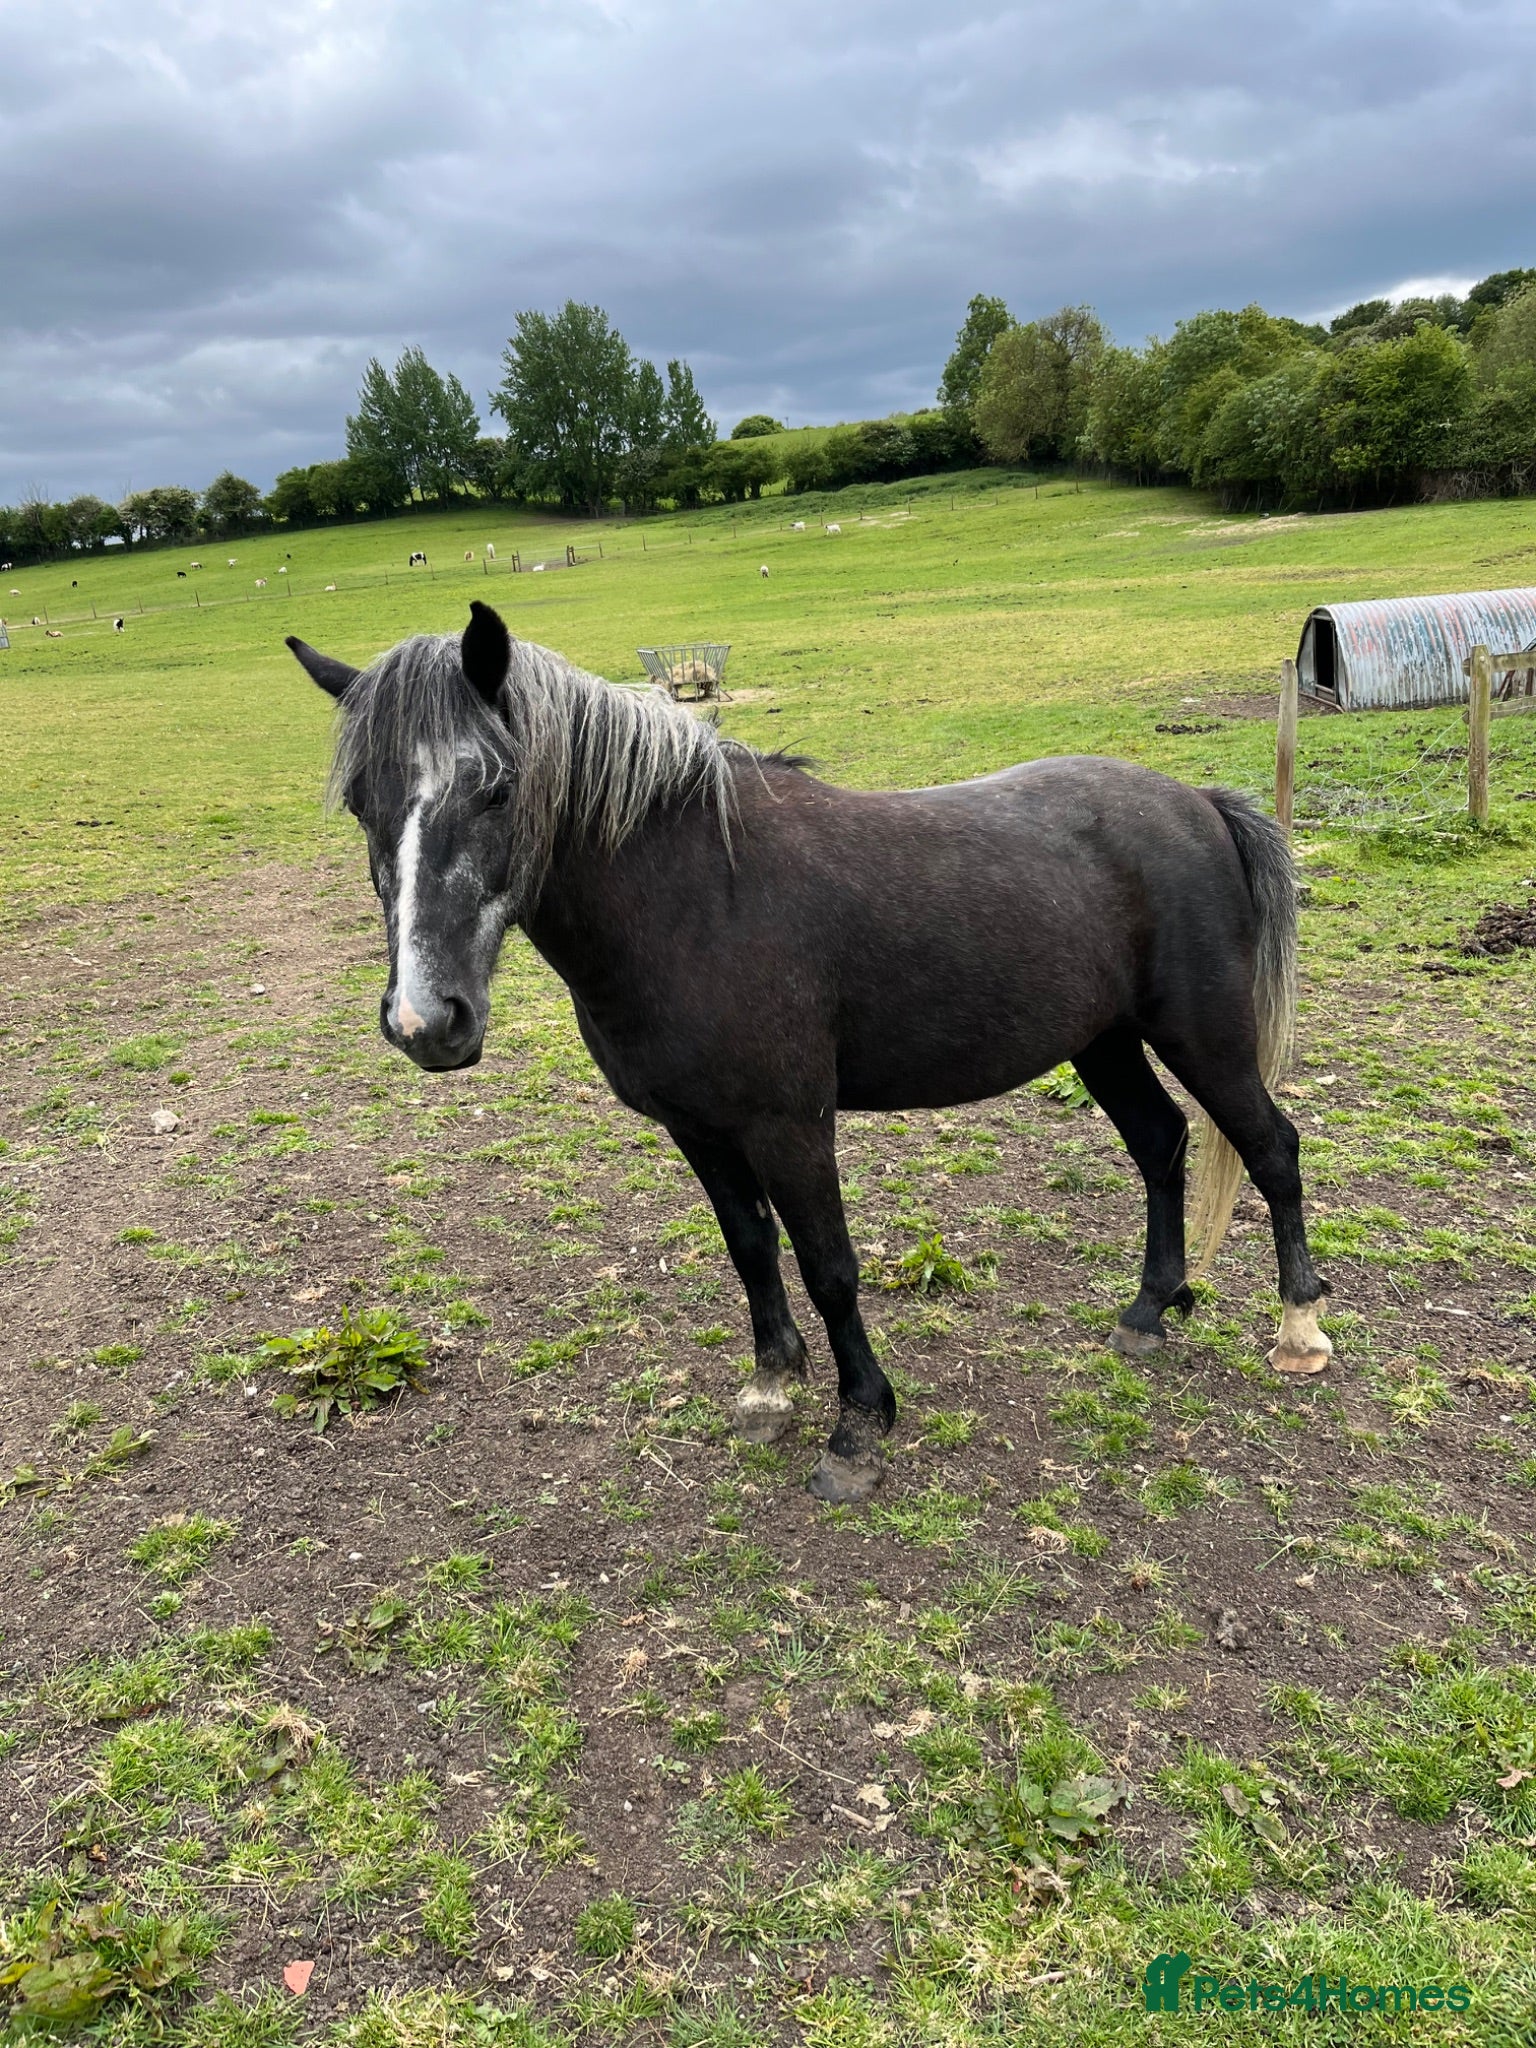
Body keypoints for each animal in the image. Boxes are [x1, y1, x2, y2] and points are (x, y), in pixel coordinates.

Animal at [286, 603, 1332, 1503]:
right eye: (361, 803)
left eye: (496, 787)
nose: (426, 1022)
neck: (697, 897)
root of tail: (1197, 801)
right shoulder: (699, 1129)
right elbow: (751, 1249)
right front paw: (769, 1388)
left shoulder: (789, 1125)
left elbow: (830, 1266)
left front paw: (859, 1428)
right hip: (1103, 1042)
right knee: (1160, 1144)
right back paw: (1151, 1310)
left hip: (1204, 1037)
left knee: (1270, 1149)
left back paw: (1299, 1330)